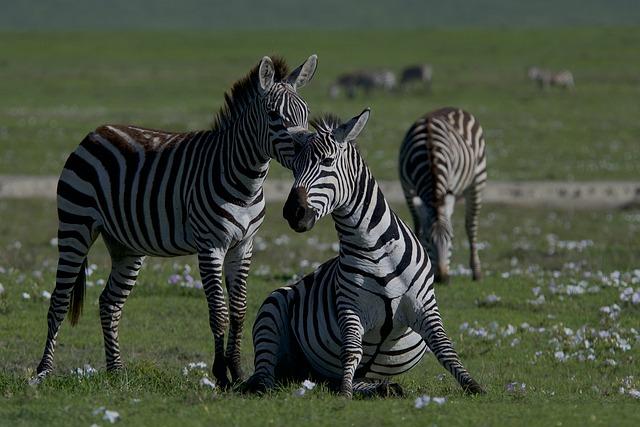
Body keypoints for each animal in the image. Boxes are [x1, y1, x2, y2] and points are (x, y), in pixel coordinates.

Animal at [32, 54, 318, 388]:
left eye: (306, 114)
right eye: (274, 115)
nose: (308, 152)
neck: (246, 181)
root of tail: (96, 132)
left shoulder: (243, 246)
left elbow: (239, 310)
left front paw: (237, 372)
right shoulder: (210, 246)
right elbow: (219, 312)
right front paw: (221, 375)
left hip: (127, 245)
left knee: (109, 302)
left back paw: (116, 370)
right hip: (75, 225)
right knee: (59, 300)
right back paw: (44, 371)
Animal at [400, 108, 484, 284]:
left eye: (451, 239)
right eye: (427, 239)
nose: (442, 278)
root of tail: (454, 108)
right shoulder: (407, 190)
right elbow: (417, 225)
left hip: (478, 180)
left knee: (471, 225)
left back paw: (476, 272)